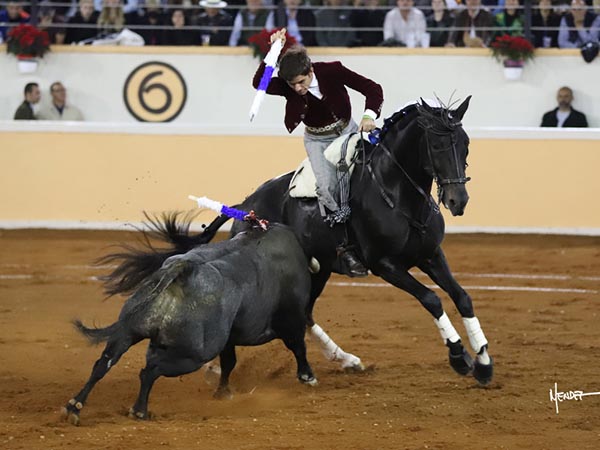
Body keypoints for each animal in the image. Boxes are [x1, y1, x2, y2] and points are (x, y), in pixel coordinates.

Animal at [64, 225, 318, 426]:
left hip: (127, 333)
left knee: (103, 364)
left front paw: (222, 392)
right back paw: (139, 411)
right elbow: (298, 347)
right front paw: (308, 377)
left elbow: (229, 362)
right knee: (149, 371)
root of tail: (184, 270)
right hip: (193, 355)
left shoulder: (229, 338)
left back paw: (74, 407)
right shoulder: (293, 320)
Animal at [103, 99, 494, 386]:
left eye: (465, 144)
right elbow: (431, 298)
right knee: (300, 313)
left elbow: (461, 296)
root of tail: (247, 204)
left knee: (306, 313)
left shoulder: (430, 254)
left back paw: (345, 359)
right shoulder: (386, 265)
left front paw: (484, 361)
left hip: (319, 269)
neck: (397, 193)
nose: (458, 200)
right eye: (437, 144)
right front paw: (459, 357)